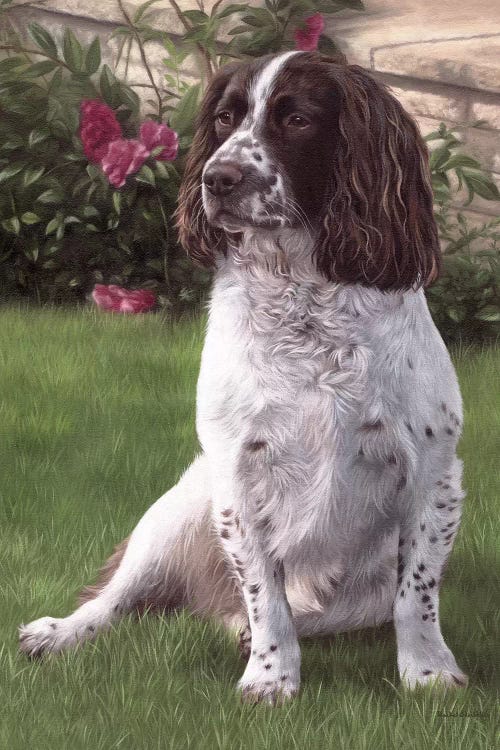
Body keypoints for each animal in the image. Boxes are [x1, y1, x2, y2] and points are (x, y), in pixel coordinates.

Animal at [18, 53, 468, 704]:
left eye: (298, 119)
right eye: (225, 119)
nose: (218, 178)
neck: (305, 300)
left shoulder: (434, 476)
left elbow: (418, 594)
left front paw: (428, 672)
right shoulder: (237, 477)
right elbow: (264, 596)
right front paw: (271, 679)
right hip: (176, 512)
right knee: (119, 596)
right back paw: (58, 633)